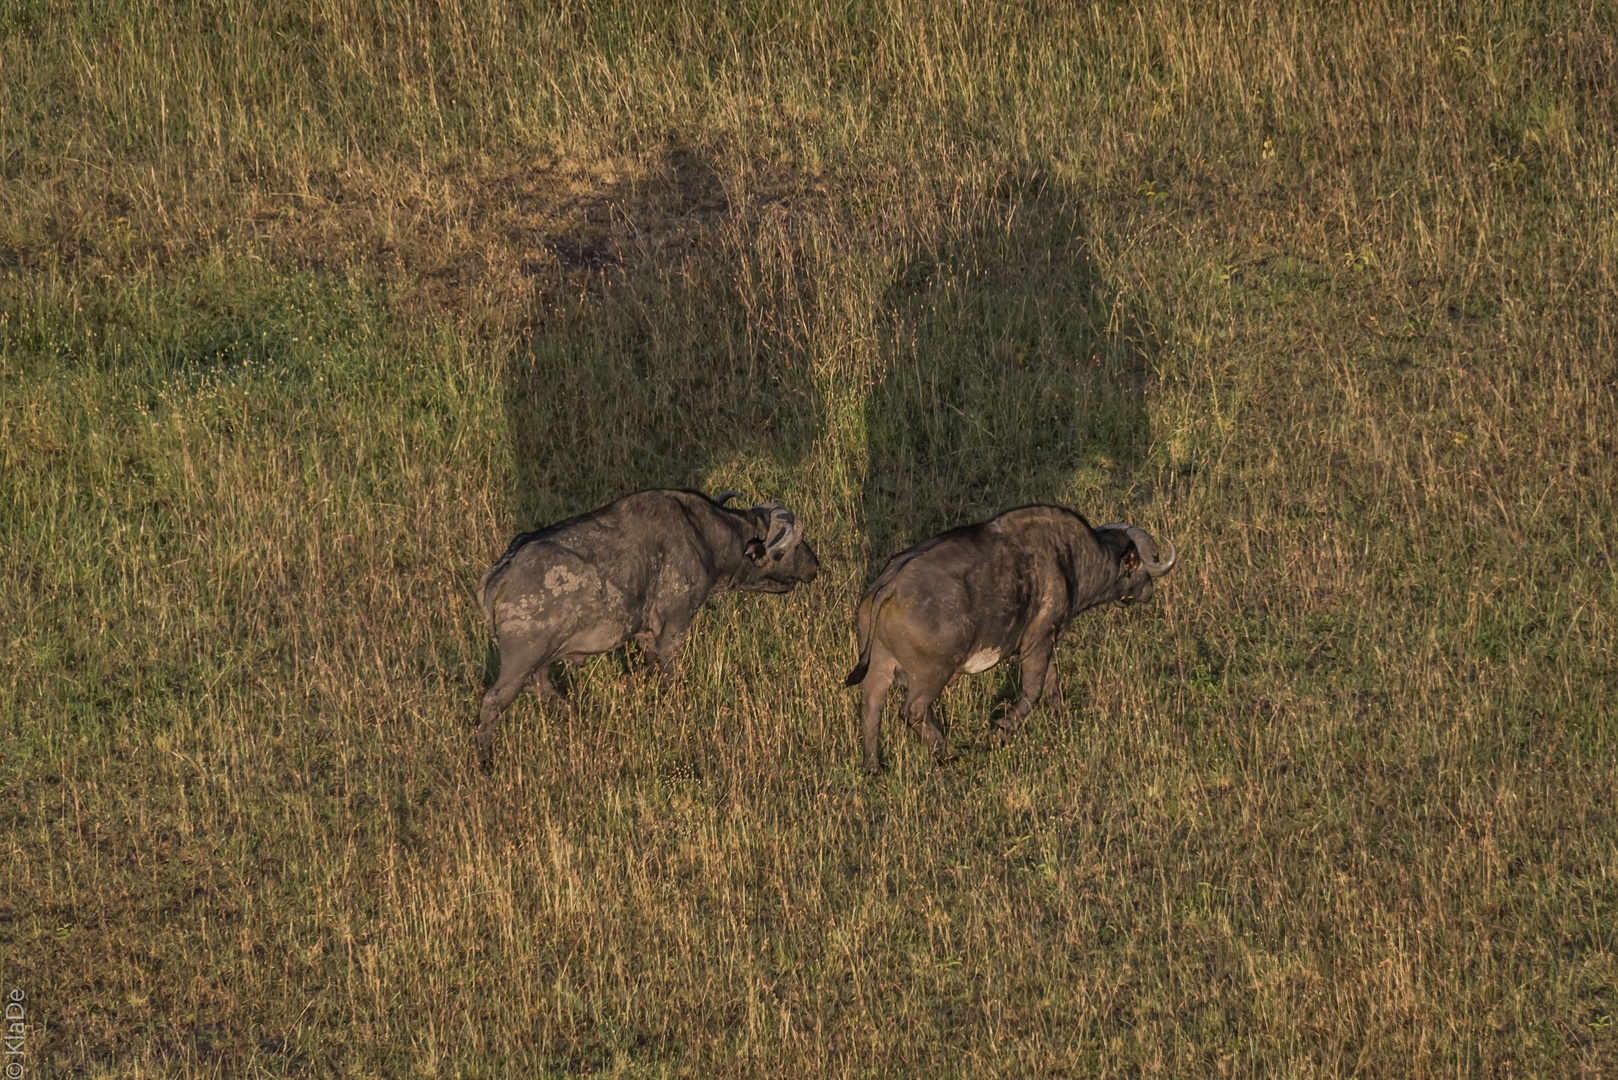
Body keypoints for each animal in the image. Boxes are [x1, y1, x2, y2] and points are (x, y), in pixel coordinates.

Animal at [472, 488, 815, 767]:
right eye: (796, 544)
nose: (816, 565)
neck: (704, 535)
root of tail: (498, 574)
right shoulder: (674, 628)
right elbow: (671, 675)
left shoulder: (646, 635)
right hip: (519, 665)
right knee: (493, 702)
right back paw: (486, 760)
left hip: (536, 665)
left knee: (543, 689)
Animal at [847, 505, 1177, 767]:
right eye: (1148, 560)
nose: (1149, 591)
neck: (1072, 559)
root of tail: (889, 584)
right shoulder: (1038, 644)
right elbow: (1032, 692)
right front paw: (1000, 732)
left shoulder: (1047, 642)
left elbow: (1052, 685)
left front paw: (1061, 718)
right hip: (931, 675)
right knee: (911, 712)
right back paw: (942, 752)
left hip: (879, 667)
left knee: (870, 708)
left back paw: (873, 765)